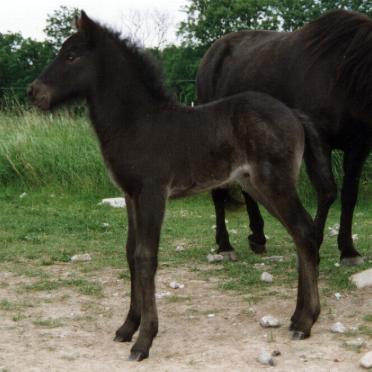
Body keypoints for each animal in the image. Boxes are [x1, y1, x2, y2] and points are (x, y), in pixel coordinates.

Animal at [199, 8, 372, 264]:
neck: (344, 74)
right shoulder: (316, 139)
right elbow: (327, 190)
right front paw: (314, 244)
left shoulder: (359, 145)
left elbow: (349, 195)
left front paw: (349, 251)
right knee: (219, 191)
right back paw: (225, 245)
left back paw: (258, 237)